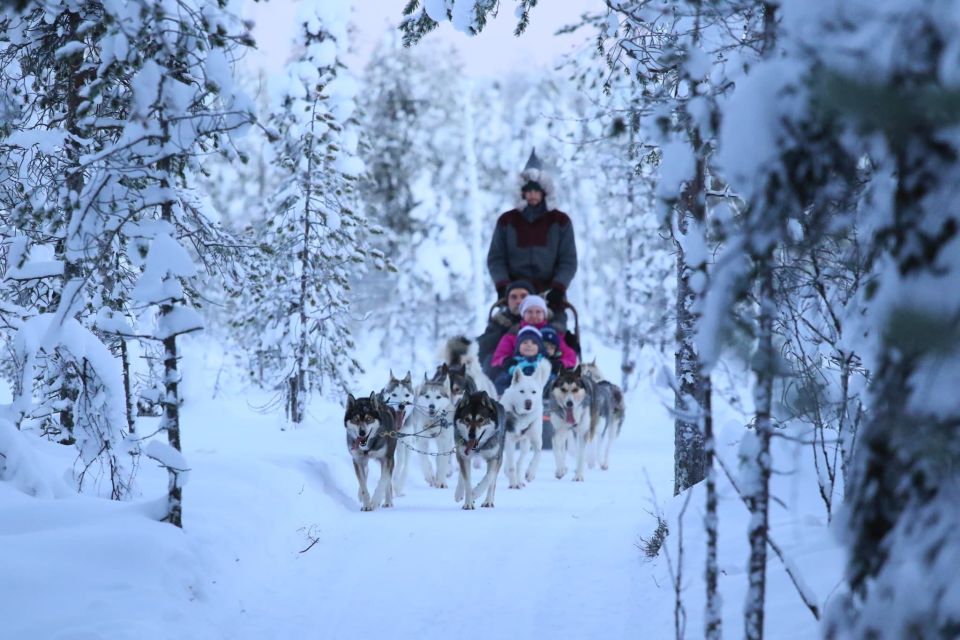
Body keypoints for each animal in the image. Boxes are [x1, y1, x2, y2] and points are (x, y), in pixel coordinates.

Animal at [380, 370, 414, 500]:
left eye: (406, 395)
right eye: (394, 395)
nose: (401, 405)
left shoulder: (407, 442)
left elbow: (405, 465)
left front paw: (399, 487)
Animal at [498, 358, 552, 488]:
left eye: (534, 392)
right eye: (521, 391)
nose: (528, 402)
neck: (522, 416)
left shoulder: (536, 440)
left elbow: (537, 455)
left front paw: (530, 473)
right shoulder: (509, 440)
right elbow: (511, 464)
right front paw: (513, 484)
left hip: (525, 444)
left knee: (520, 461)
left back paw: (520, 479)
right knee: (511, 461)